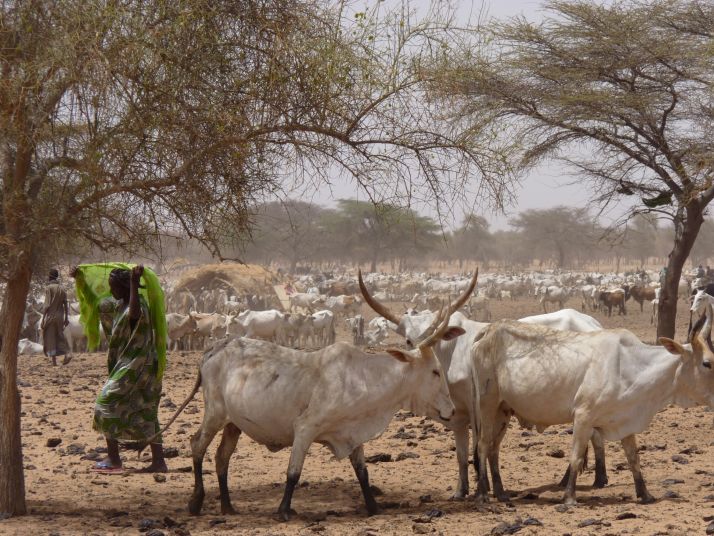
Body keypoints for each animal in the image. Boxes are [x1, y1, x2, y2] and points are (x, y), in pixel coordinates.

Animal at [150, 308, 462, 520]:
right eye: (435, 371)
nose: (452, 409)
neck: (362, 376)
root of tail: (216, 347)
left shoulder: (352, 435)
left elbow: (363, 473)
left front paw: (373, 506)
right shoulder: (305, 429)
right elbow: (293, 473)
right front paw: (283, 510)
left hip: (233, 424)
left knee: (221, 457)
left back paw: (227, 505)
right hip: (214, 414)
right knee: (197, 445)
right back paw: (196, 502)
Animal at [468, 312, 712, 504]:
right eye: (707, 363)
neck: (631, 366)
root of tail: (490, 330)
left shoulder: (625, 421)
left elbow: (633, 459)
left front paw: (645, 494)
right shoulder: (583, 417)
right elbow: (576, 457)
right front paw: (569, 497)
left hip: (503, 411)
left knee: (494, 449)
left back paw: (500, 493)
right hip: (486, 403)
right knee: (483, 445)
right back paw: (483, 495)